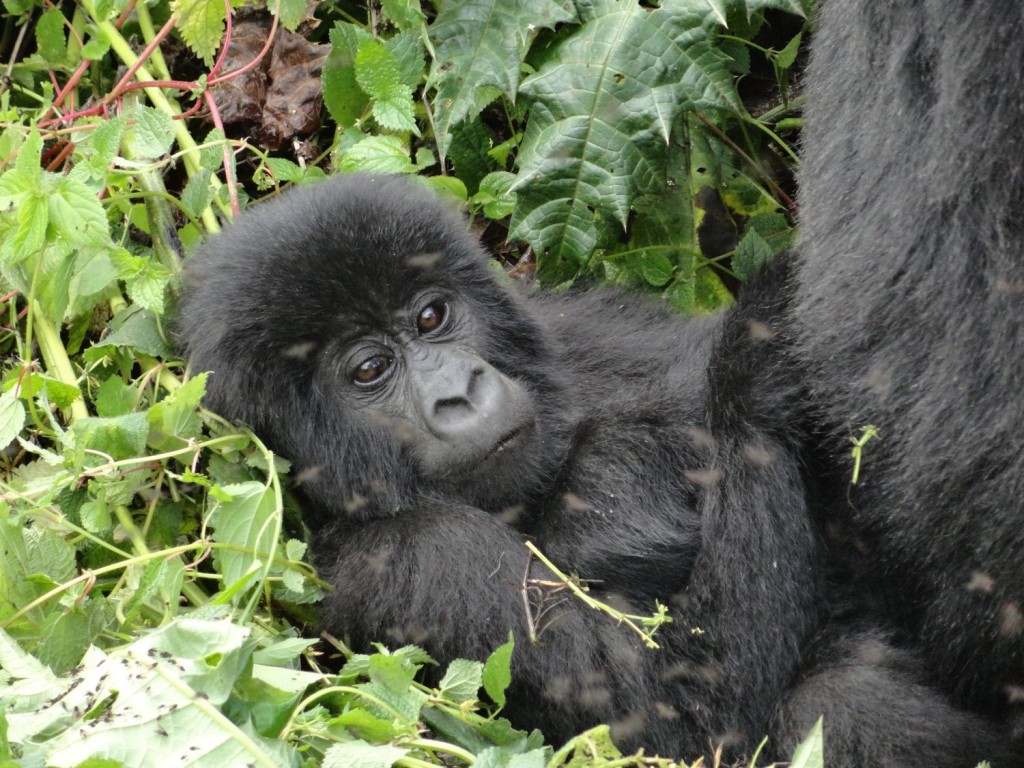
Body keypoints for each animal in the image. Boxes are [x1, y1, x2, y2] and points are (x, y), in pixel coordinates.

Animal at [180, 173, 1011, 765]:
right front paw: (757, 346)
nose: (459, 391)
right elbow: (674, 720)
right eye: (369, 370)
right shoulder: (410, 559)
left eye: (431, 316)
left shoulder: (573, 327)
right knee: (840, 708)